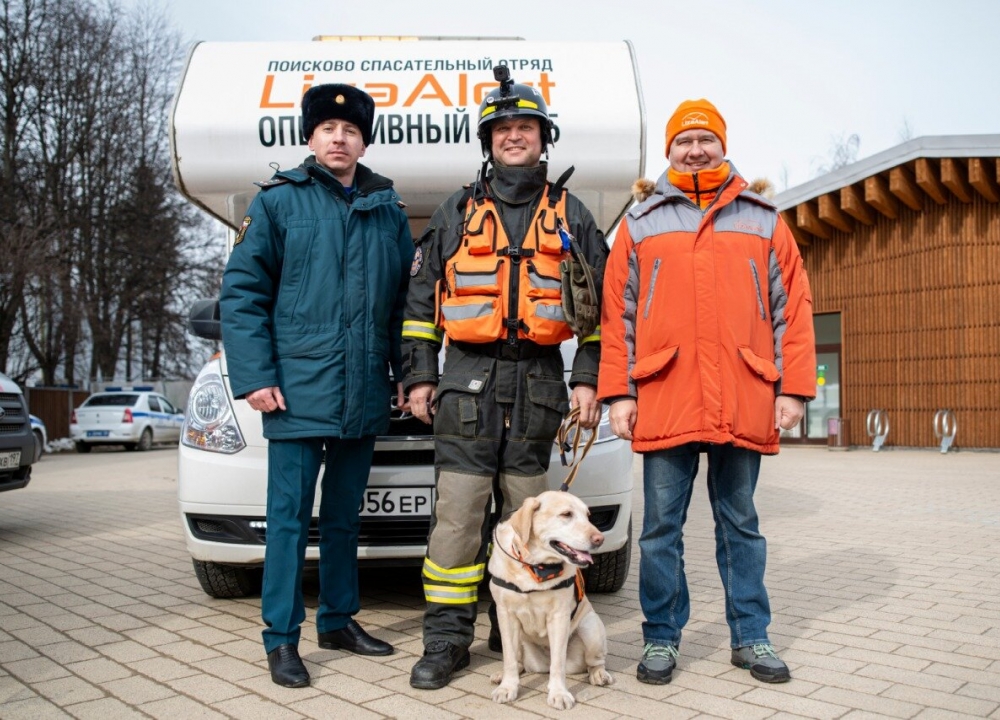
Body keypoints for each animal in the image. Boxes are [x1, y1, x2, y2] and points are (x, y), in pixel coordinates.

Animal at [488, 490, 612, 708]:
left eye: (588, 515)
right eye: (566, 514)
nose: (600, 539)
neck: (535, 567)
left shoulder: (559, 617)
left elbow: (558, 663)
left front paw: (559, 693)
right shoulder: (505, 615)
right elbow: (509, 658)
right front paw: (507, 688)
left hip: (590, 627)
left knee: (594, 662)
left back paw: (599, 675)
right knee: (518, 662)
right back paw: (501, 675)